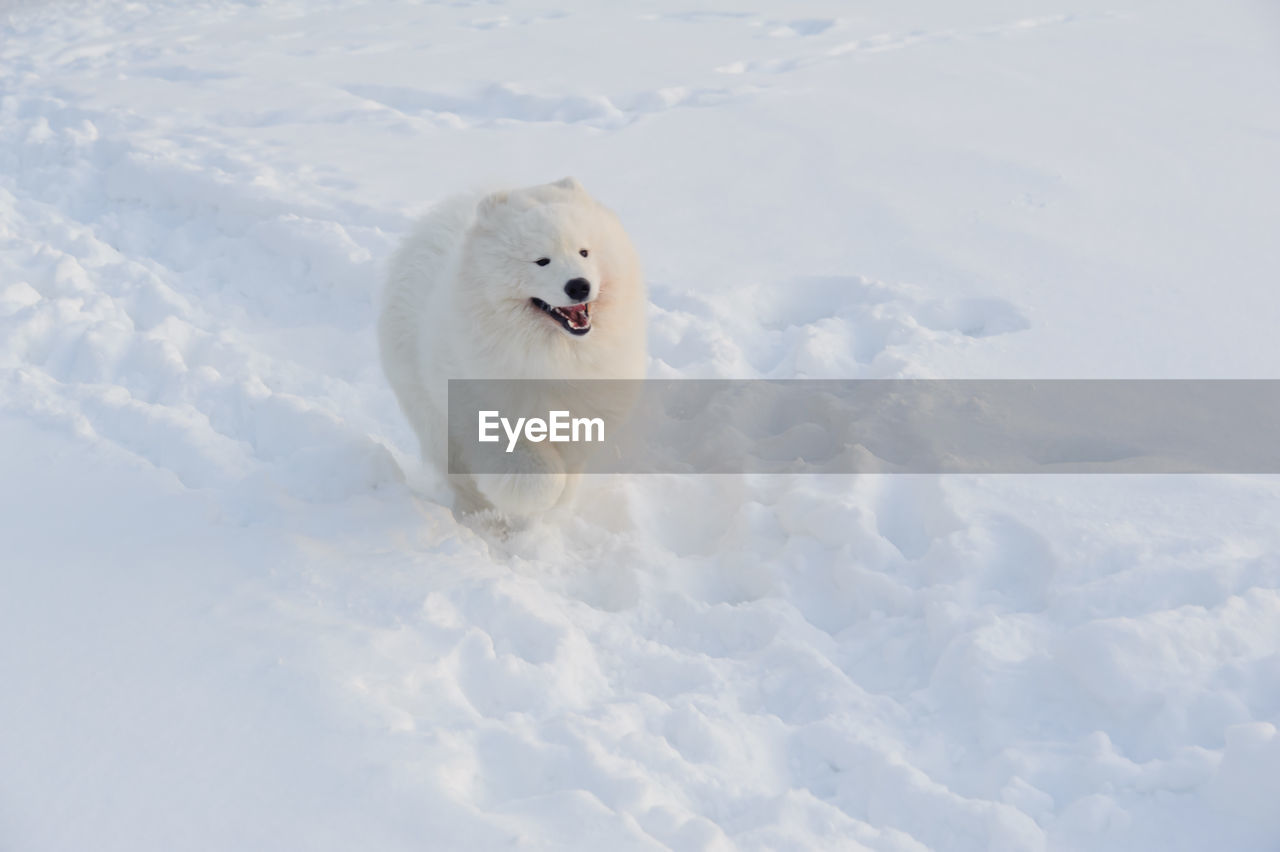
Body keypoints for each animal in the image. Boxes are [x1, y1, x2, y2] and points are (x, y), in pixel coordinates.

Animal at [373, 175, 645, 514]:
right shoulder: (491, 410)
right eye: (541, 261)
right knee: (455, 467)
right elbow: (532, 473)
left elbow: (570, 468)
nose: (579, 285)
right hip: (429, 409)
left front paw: (556, 504)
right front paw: (534, 499)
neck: (553, 354)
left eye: (584, 252)